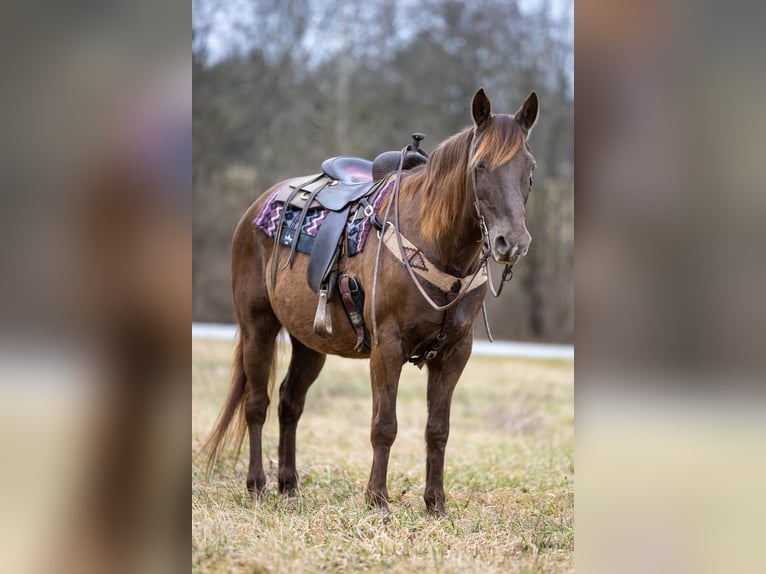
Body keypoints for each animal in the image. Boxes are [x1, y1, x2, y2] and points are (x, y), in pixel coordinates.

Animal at [204, 89, 540, 516]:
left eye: (530, 168)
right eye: (480, 165)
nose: (511, 243)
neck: (437, 243)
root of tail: (255, 208)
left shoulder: (455, 353)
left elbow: (438, 430)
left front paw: (435, 504)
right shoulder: (387, 346)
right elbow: (385, 425)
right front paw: (377, 500)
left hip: (309, 343)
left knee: (289, 403)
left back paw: (289, 485)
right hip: (257, 327)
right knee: (256, 403)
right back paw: (257, 485)